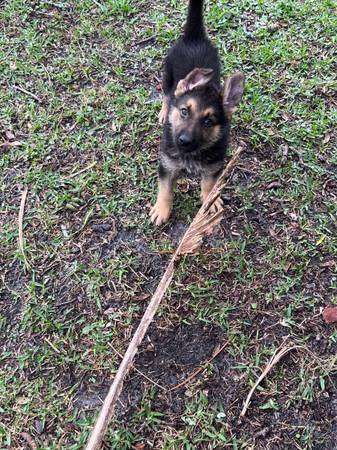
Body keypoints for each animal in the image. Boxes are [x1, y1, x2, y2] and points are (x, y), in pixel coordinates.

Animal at [150, 0, 244, 225]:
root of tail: (194, 37)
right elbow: (165, 189)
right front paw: (161, 209)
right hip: (167, 75)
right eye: (184, 111)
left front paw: (211, 201)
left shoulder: (213, 167)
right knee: (168, 94)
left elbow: (209, 186)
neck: (191, 154)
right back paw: (164, 112)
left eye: (208, 122)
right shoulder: (167, 165)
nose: (183, 141)